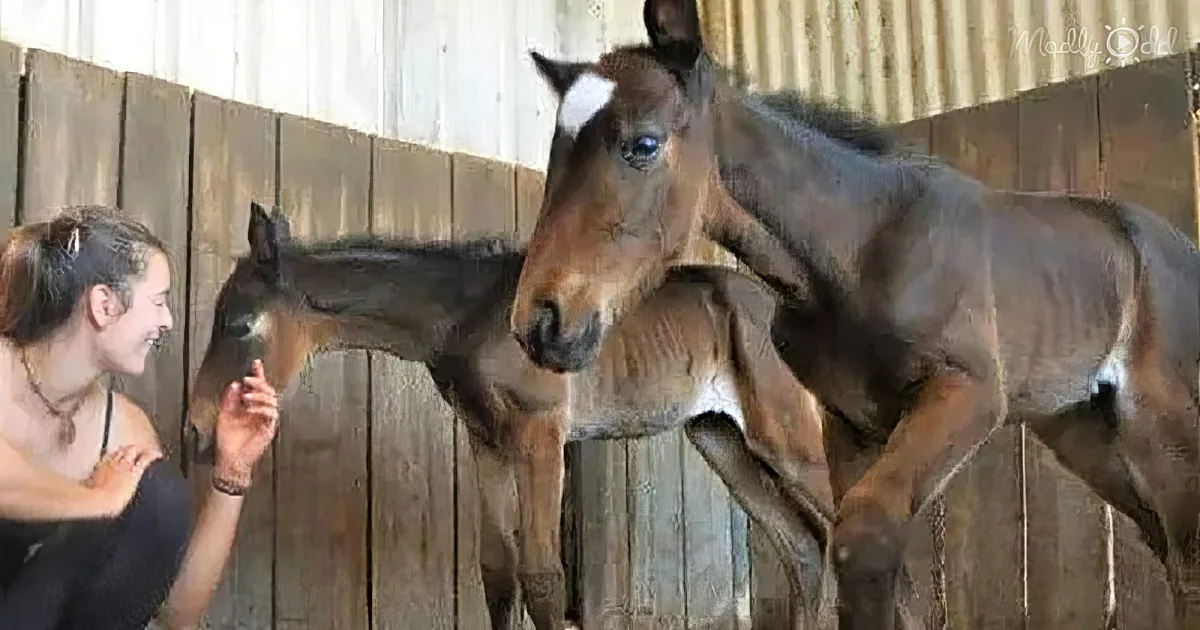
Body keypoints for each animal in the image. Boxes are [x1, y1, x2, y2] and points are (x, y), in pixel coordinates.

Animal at [185, 200, 843, 630]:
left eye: (239, 325)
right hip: (722, 438)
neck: (470, 313)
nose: (195, 430)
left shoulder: (541, 434)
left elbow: (543, 579)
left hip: (785, 437)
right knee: (803, 550)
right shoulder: (486, 441)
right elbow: (498, 573)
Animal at [505, 0, 1200, 628]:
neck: (856, 250)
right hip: (1083, 429)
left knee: (1186, 548)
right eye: (554, 156)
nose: (539, 322)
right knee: (1164, 541)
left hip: (1159, 421)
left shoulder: (970, 393)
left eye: (643, 144)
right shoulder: (850, 423)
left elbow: (861, 542)